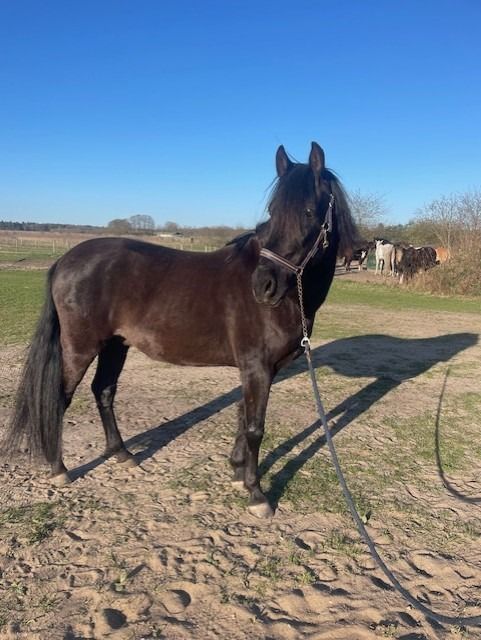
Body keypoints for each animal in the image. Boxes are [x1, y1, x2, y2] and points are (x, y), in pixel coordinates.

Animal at [4, 142, 357, 518]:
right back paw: (59, 469)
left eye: (308, 212)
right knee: (60, 398)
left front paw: (237, 474)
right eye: (273, 212)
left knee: (104, 391)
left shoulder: (261, 370)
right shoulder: (257, 368)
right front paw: (256, 494)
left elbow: (242, 416)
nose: (263, 286)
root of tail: (63, 261)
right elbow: (254, 427)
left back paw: (123, 455)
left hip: (115, 344)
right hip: (80, 346)